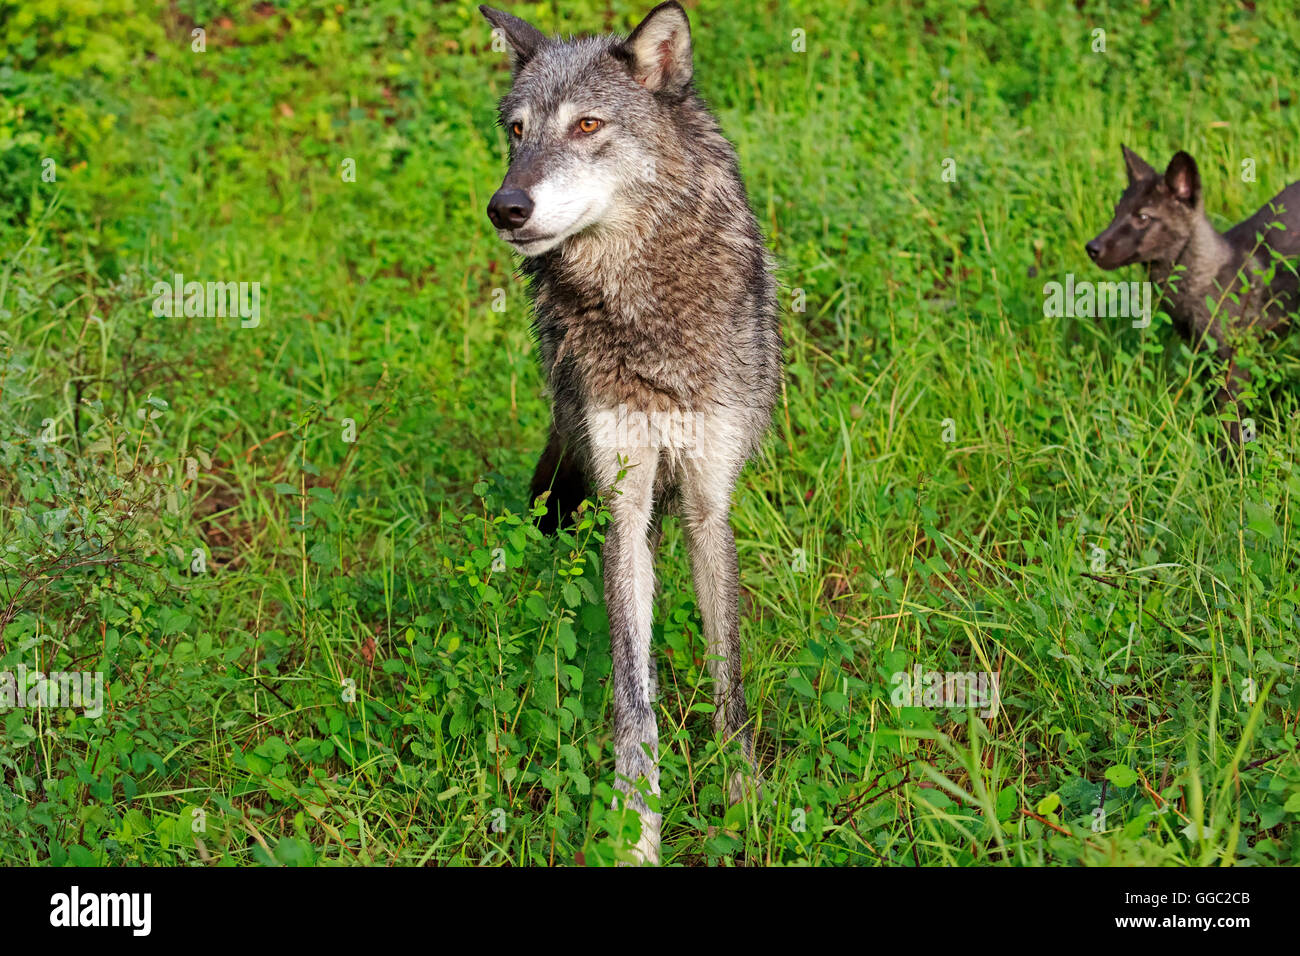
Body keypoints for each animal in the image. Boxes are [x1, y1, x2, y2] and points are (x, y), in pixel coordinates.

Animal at [480, 1, 774, 868]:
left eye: (587, 125)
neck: (645, 309)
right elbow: (633, 699)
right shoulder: (626, 508)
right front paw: (635, 831)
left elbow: (727, 679)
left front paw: (743, 801)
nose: (506, 207)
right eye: (516, 132)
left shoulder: (710, 505)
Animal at [1086, 147, 1300, 447]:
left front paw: (1229, 459)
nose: (1091, 248)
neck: (1204, 278)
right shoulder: (1203, 354)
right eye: (1116, 213)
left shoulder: (1233, 362)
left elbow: (1231, 424)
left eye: (1143, 217)